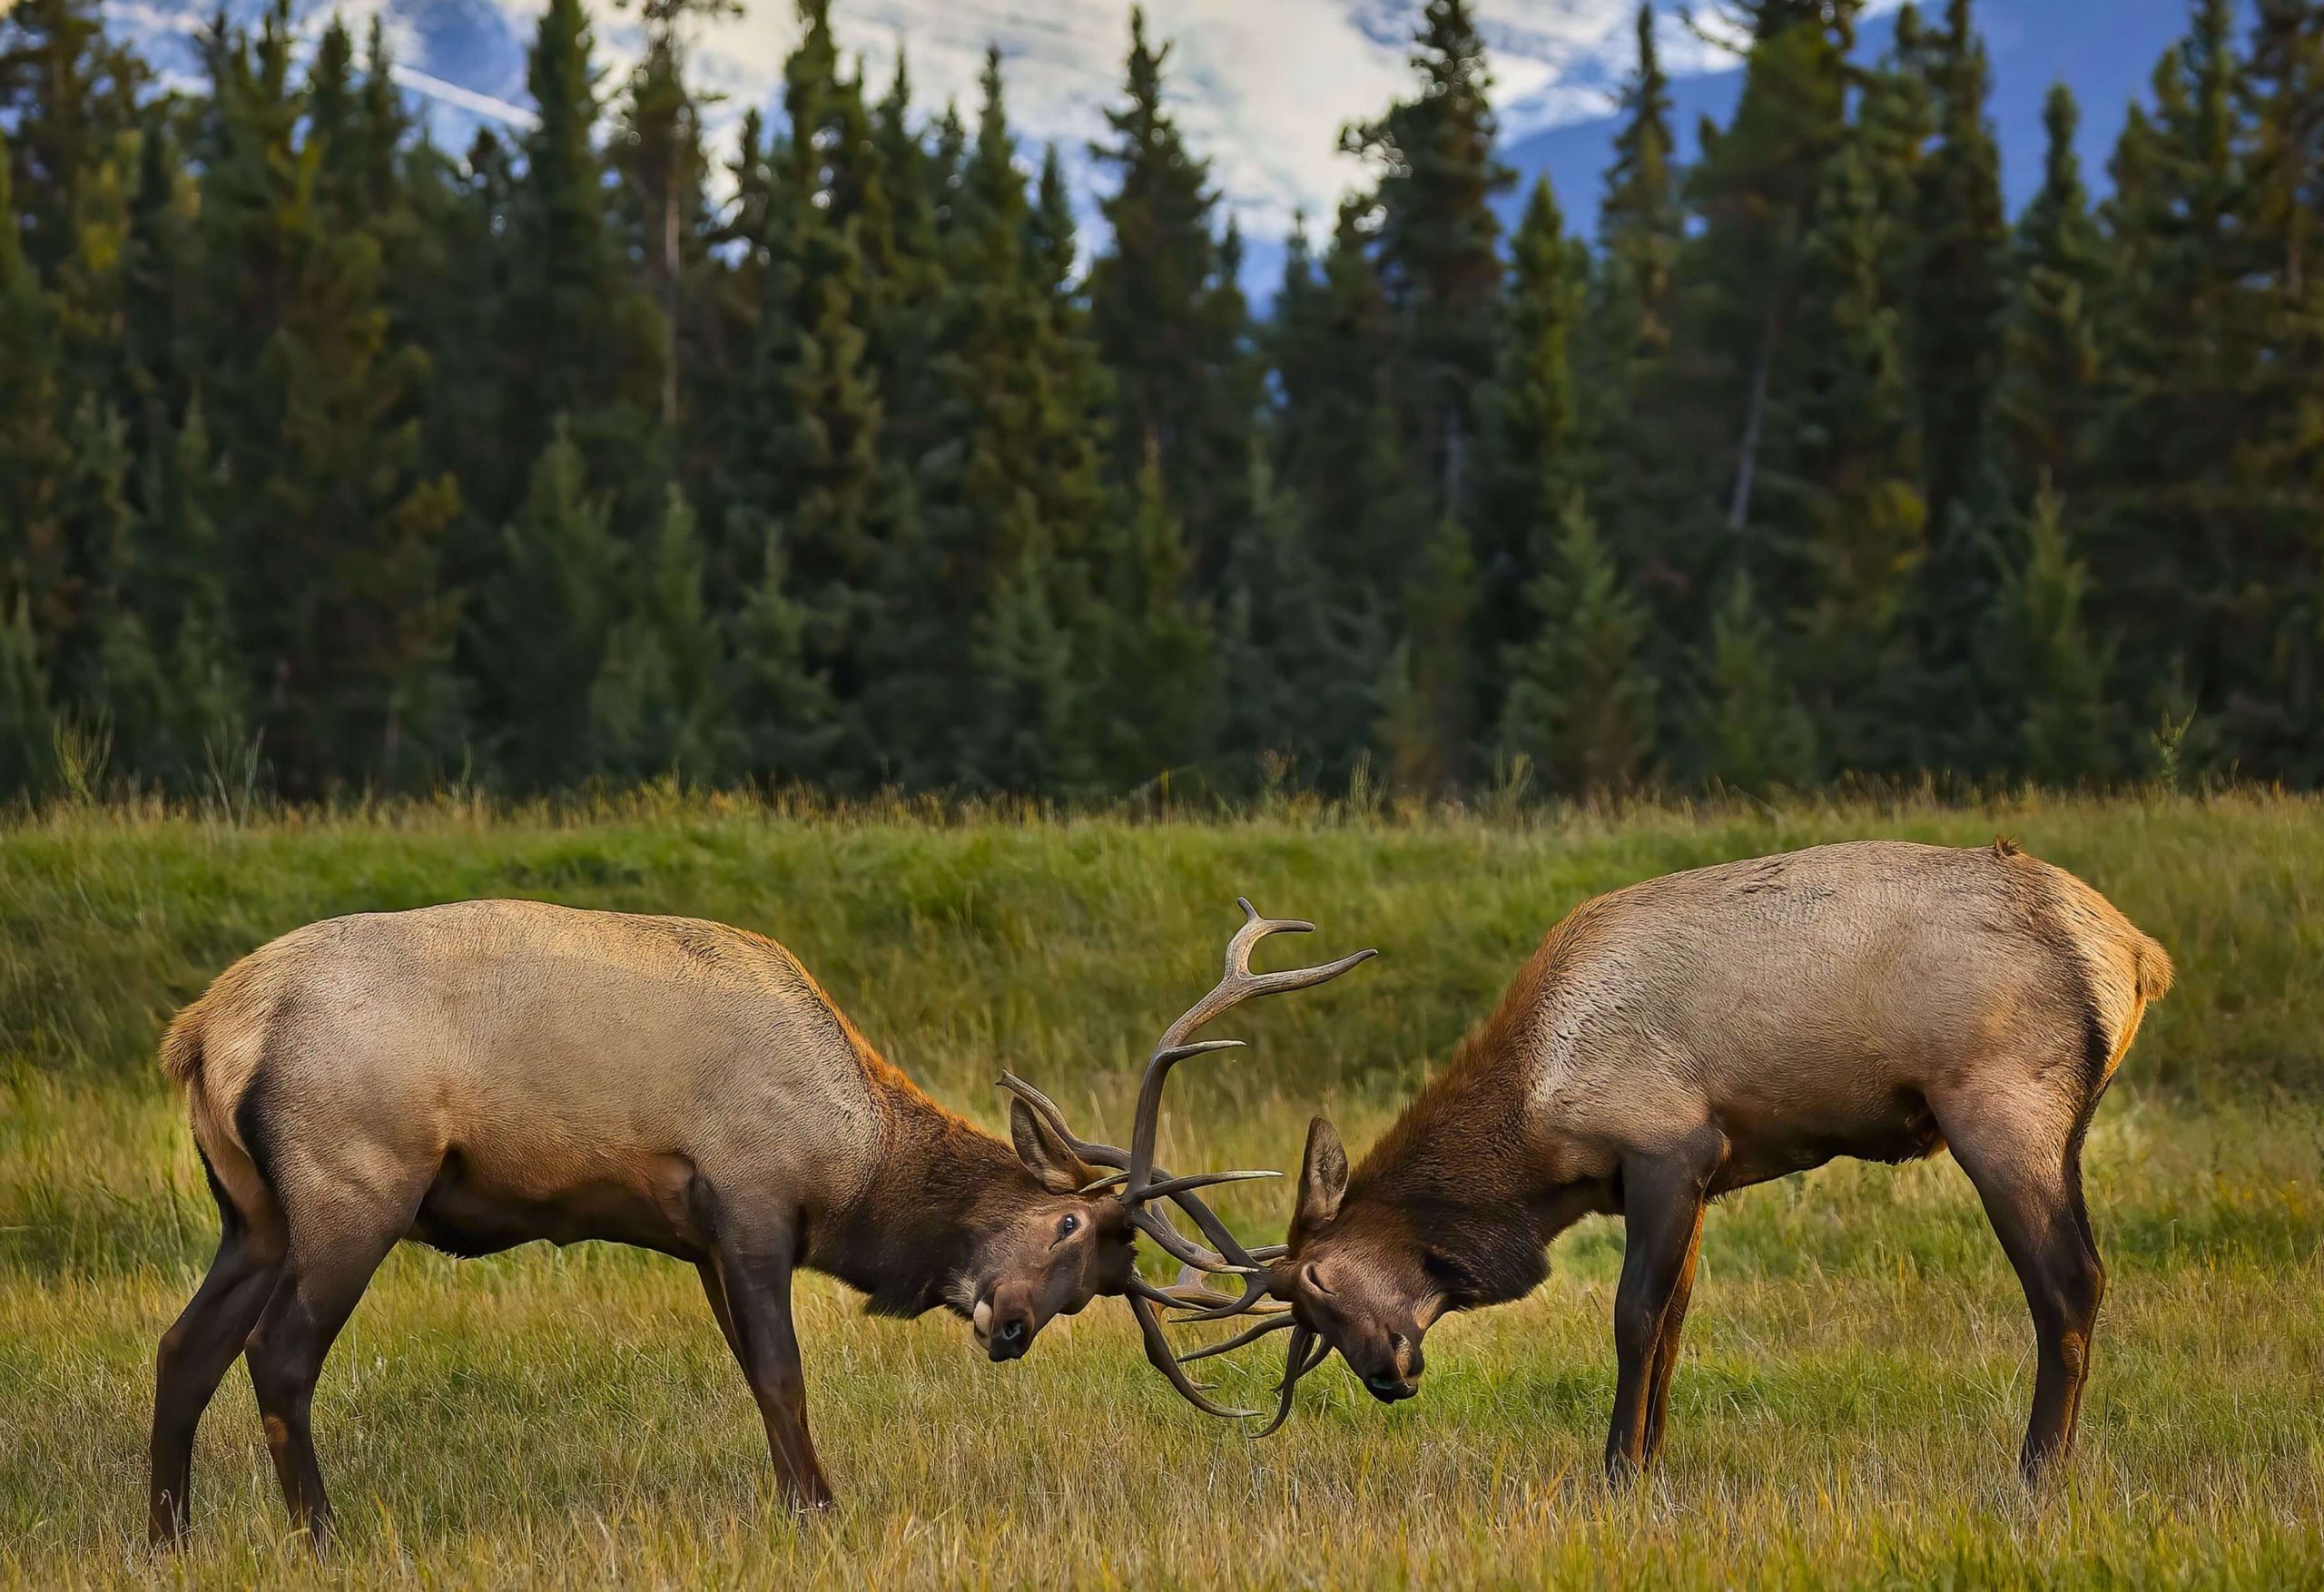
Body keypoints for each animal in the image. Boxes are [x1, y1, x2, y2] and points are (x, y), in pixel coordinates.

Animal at [148, 895, 1372, 1550]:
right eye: (1073, 1235)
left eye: (1093, 1289)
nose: (1011, 1327)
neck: (857, 1158)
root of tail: (203, 1031)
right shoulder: (748, 1198)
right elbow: (782, 1373)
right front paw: (821, 1508)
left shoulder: (697, 1236)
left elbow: (753, 1375)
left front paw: (797, 1501)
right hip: (353, 1183)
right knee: (278, 1352)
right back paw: (320, 1530)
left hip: (251, 1213)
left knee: (184, 1346)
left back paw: (169, 1531)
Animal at [1175, 840, 2173, 1483]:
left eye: (1317, 1283)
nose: (1387, 1377)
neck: (1538, 1123)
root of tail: (2138, 954)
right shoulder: (1701, 1171)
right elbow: (1678, 1321)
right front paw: (1651, 1460)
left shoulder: (1664, 1144)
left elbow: (1634, 1316)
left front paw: (1616, 1470)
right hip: (2059, 1124)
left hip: (2000, 1106)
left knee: (2069, 1280)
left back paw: (2037, 1473)